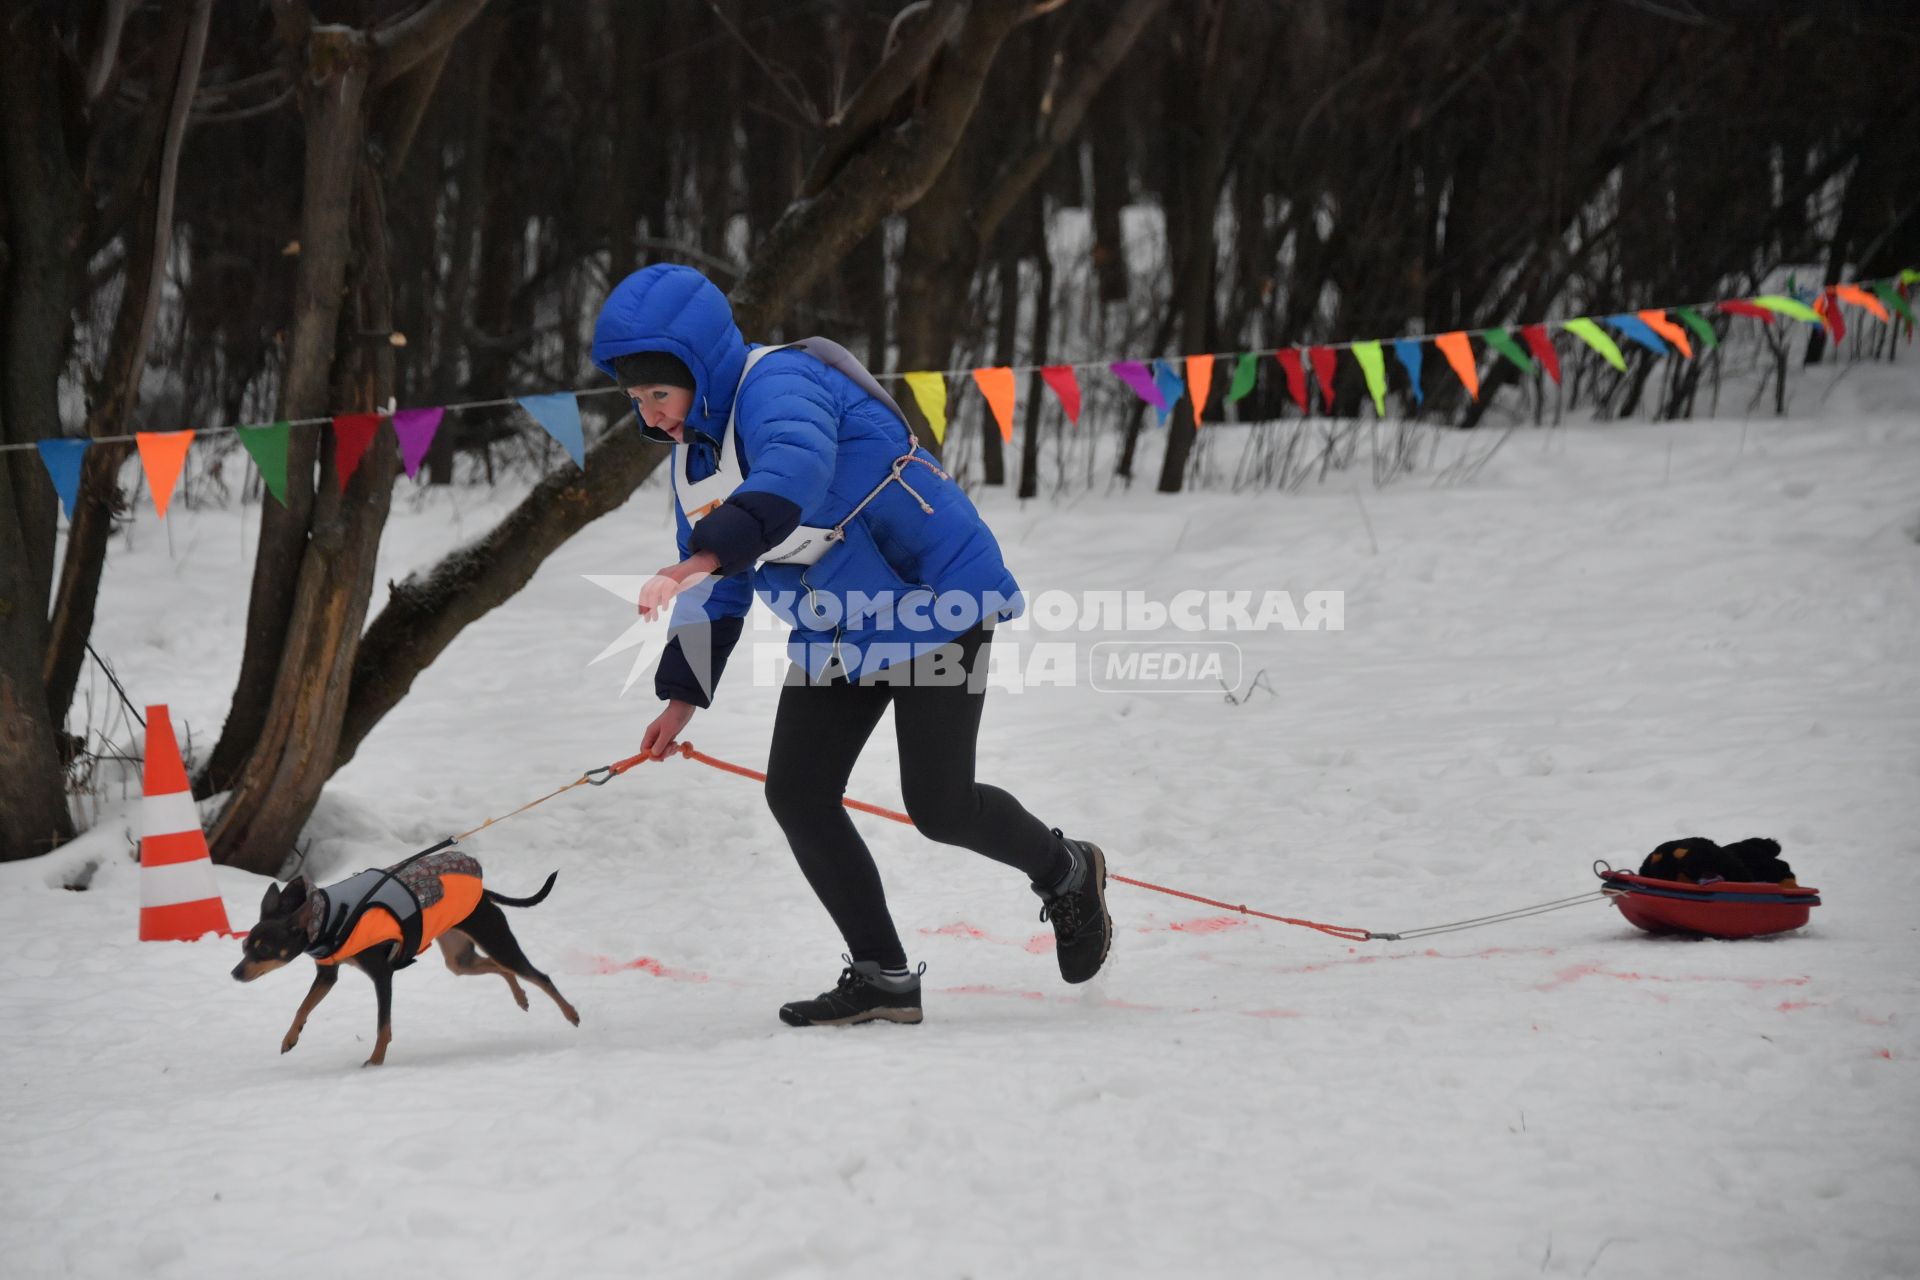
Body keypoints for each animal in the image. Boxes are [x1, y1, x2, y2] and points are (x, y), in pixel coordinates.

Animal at [233, 852, 576, 1074]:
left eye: (264, 949)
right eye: (244, 946)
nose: (235, 973)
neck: (330, 915)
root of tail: (484, 894)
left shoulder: (382, 975)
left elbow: (382, 1026)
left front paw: (375, 1062)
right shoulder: (328, 975)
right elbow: (302, 1007)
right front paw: (290, 1037)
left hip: (495, 940)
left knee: (538, 975)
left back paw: (571, 1014)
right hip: (460, 960)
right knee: (502, 969)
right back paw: (521, 997)